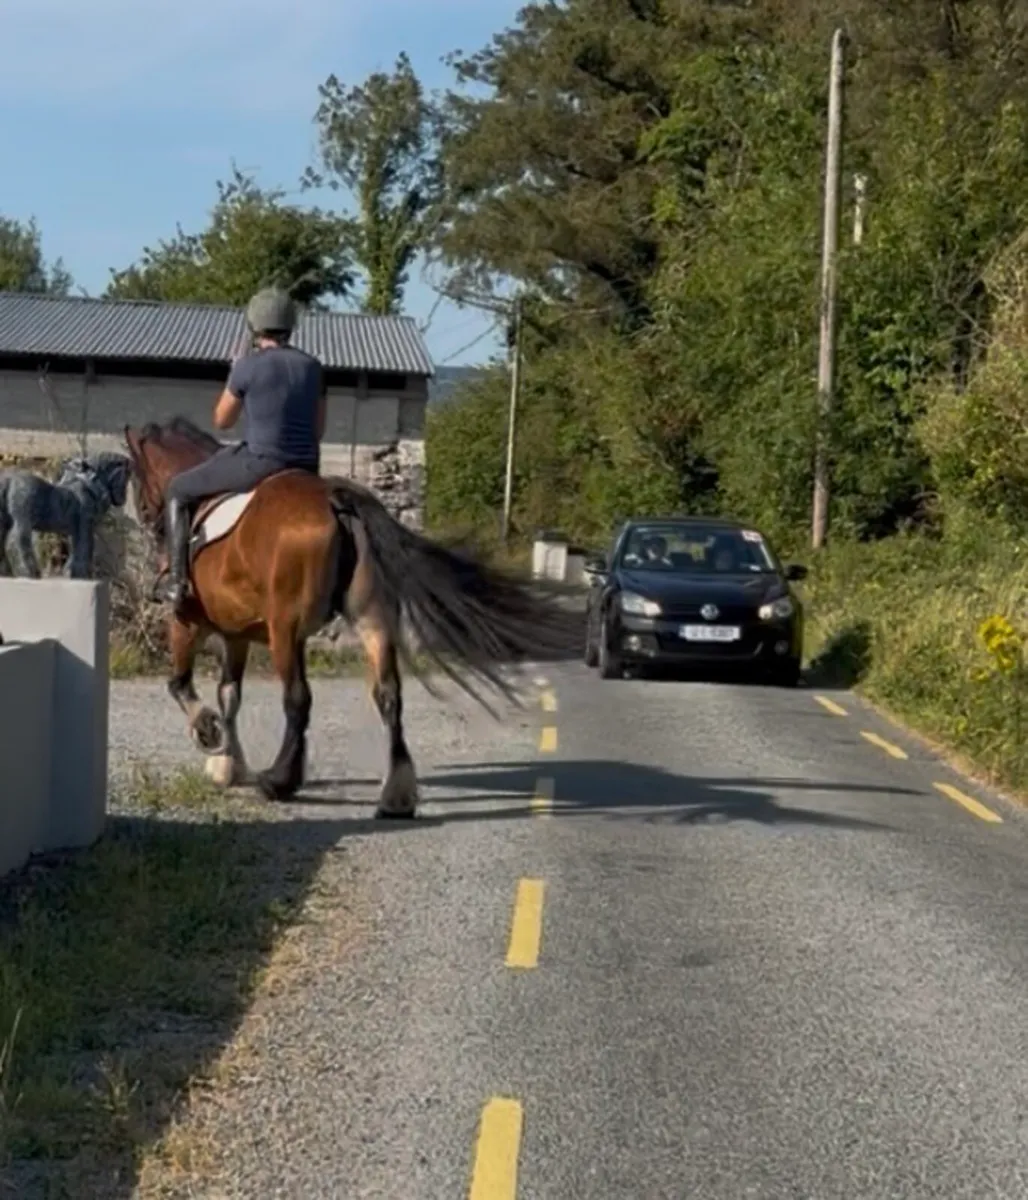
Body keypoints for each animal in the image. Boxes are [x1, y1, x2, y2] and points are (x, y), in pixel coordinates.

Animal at [122, 417, 576, 816]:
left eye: (136, 480)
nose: (150, 522)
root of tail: (334, 499)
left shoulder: (188, 623)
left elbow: (181, 685)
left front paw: (209, 735)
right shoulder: (236, 635)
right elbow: (229, 693)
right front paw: (227, 765)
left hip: (286, 631)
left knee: (298, 699)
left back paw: (281, 781)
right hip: (374, 622)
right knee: (389, 695)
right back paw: (396, 795)